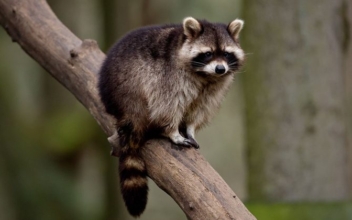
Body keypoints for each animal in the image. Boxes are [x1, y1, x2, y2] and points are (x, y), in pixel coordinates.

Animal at [97, 16, 243, 217]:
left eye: (227, 54)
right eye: (208, 53)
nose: (220, 69)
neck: (206, 75)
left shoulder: (212, 89)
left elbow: (199, 109)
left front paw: (190, 128)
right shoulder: (169, 76)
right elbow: (167, 105)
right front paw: (173, 131)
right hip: (129, 86)